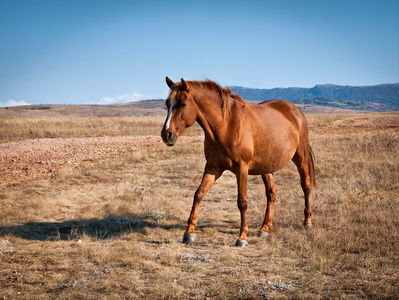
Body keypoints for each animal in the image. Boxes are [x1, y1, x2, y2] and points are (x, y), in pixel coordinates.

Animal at [162, 77, 316, 246]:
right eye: (167, 104)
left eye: (183, 104)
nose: (166, 134)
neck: (226, 125)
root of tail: (296, 111)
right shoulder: (213, 168)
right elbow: (198, 194)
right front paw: (189, 232)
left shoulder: (242, 169)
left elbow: (242, 201)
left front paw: (242, 236)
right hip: (266, 167)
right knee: (272, 193)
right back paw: (265, 228)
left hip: (300, 158)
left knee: (306, 186)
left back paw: (307, 221)